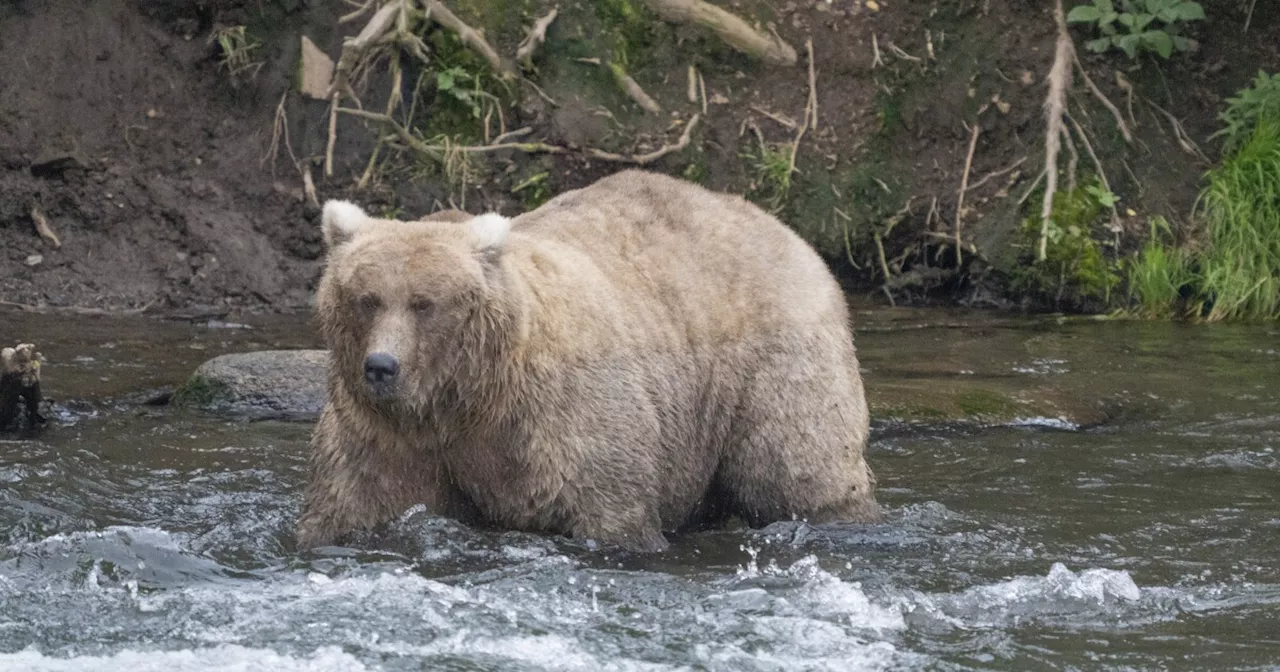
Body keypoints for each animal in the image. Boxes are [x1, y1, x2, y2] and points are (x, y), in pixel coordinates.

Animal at [296, 166, 880, 550]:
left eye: (424, 303)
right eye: (366, 298)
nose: (381, 367)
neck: (466, 397)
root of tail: (784, 229)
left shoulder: (560, 418)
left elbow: (608, 507)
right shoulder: (388, 433)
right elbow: (356, 501)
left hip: (771, 363)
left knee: (797, 467)